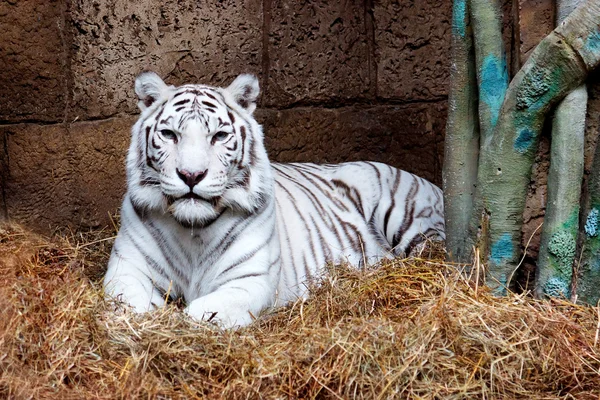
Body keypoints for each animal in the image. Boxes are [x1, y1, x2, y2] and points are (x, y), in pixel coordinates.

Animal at [103, 72, 442, 328]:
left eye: (219, 136)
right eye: (170, 134)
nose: (191, 175)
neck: (193, 229)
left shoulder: (249, 280)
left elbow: (200, 314)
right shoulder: (127, 270)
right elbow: (132, 308)